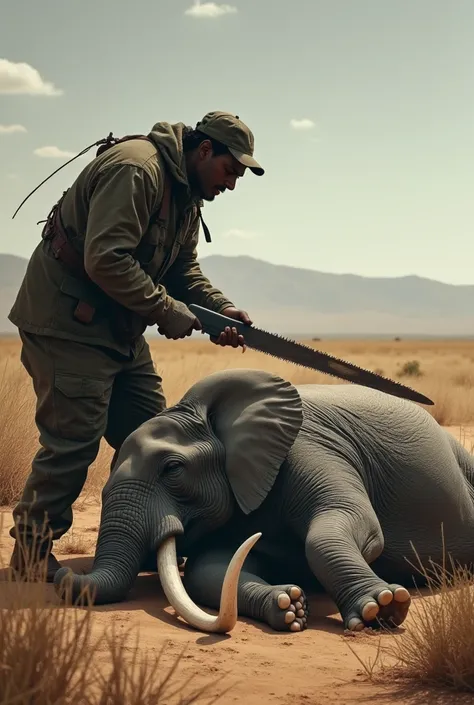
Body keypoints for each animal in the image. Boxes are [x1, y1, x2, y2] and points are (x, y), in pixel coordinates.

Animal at [53, 368, 474, 632]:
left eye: (172, 469)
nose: (59, 572)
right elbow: (209, 569)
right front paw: (289, 606)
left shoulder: (307, 447)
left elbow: (348, 523)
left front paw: (381, 608)